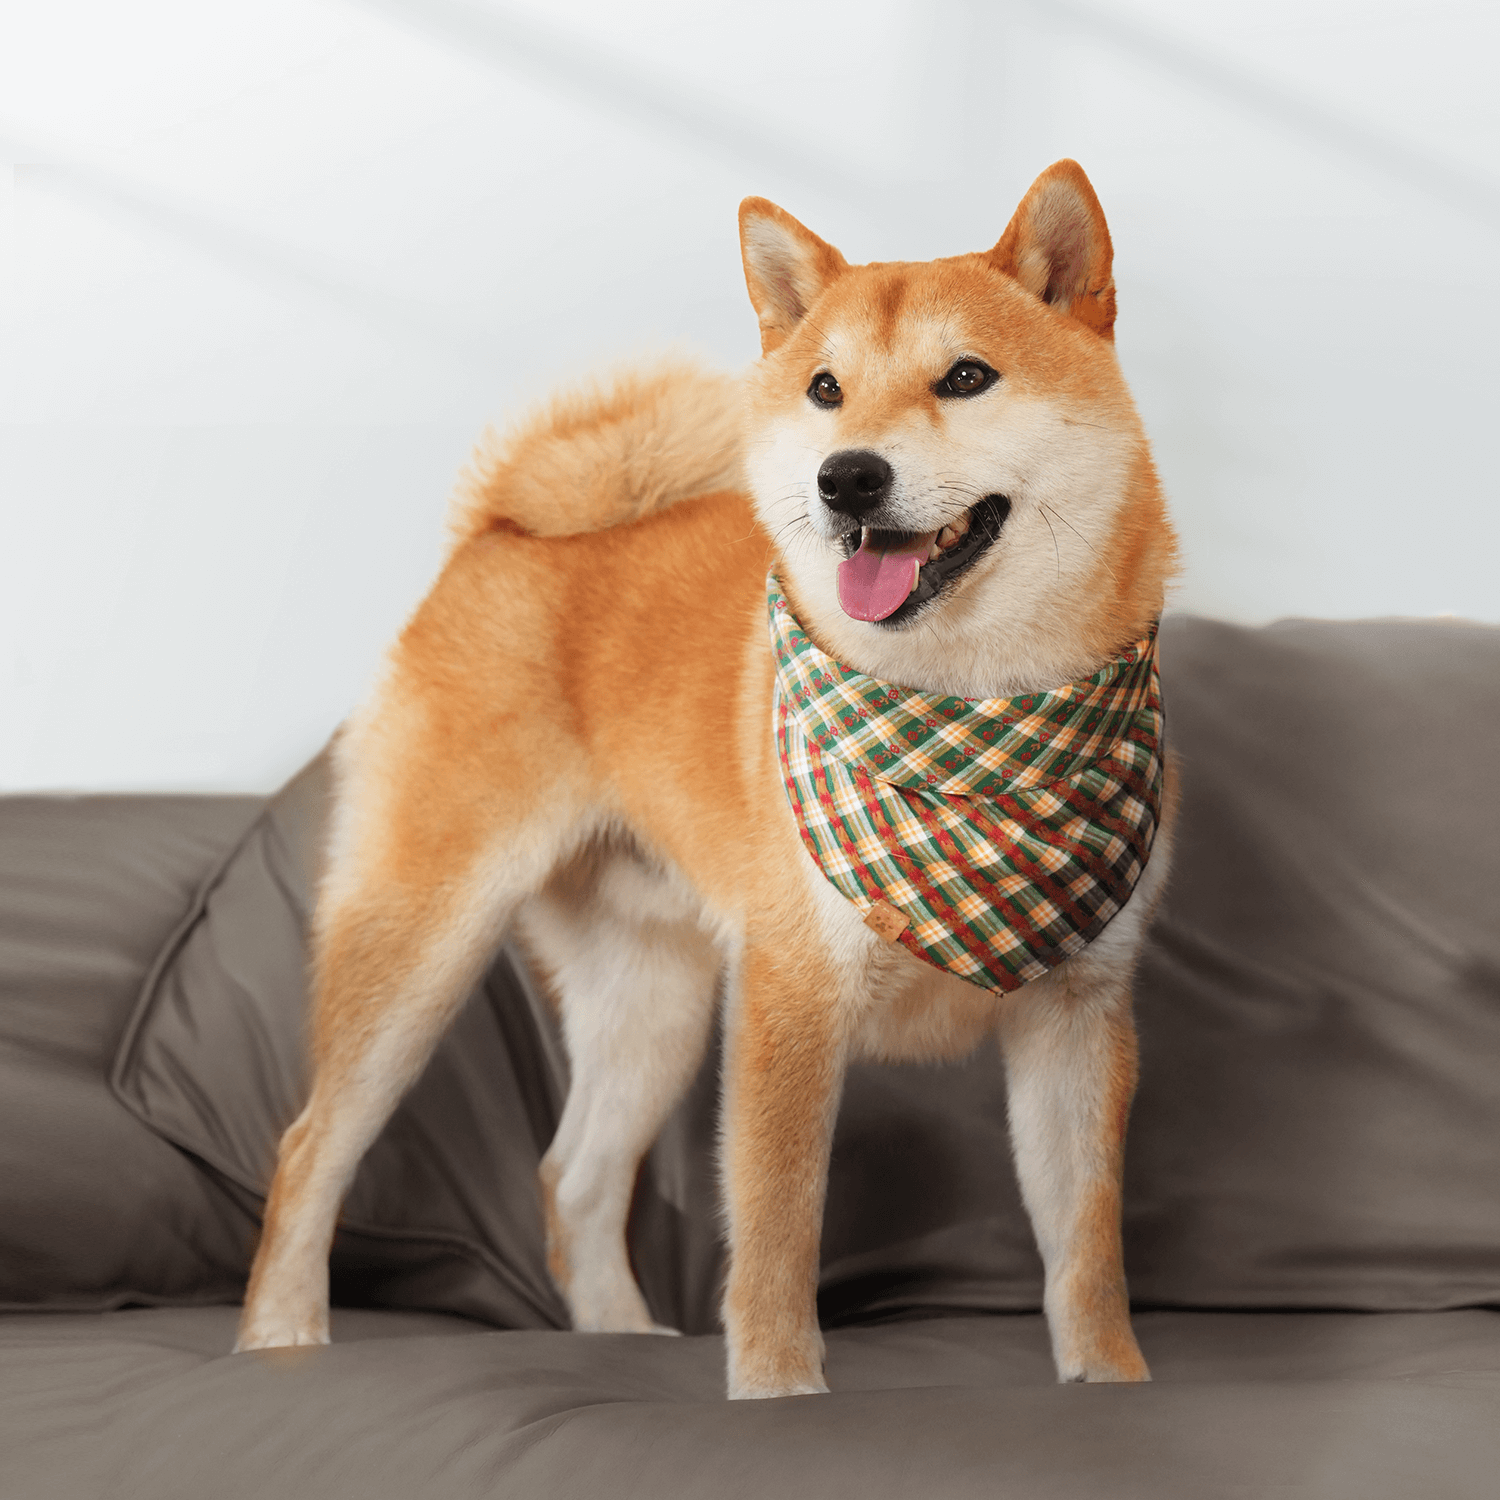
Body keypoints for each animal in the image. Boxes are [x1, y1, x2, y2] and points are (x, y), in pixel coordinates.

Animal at [237, 158, 1170, 1398]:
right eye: (825, 388)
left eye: (966, 376)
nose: (846, 477)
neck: (973, 709)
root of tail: (500, 534)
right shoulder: (790, 995)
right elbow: (775, 1230)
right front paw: (777, 1392)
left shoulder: (1079, 1016)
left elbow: (1085, 1249)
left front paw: (1112, 1386)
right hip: (422, 942)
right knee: (307, 1149)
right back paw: (279, 1341)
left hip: (654, 1000)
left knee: (572, 1182)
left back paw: (620, 1340)